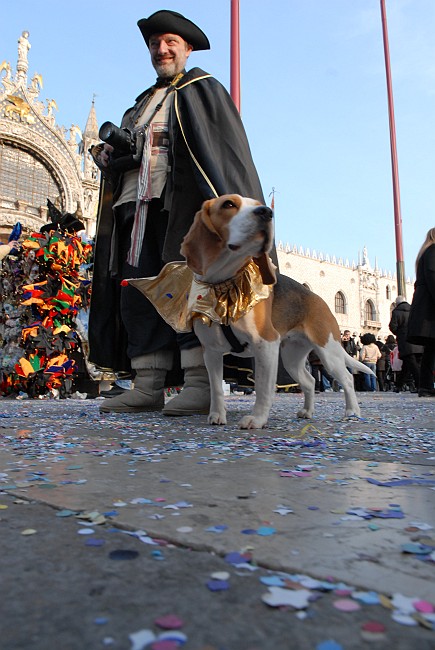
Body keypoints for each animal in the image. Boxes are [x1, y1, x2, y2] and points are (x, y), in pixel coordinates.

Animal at [179, 192, 372, 428]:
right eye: (228, 204)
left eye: (257, 204)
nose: (266, 212)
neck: (223, 284)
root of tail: (318, 299)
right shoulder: (211, 352)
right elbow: (216, 389)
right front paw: (217, 415)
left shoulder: (266, 344)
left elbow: (263, 388)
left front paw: (257, 419)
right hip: (292, 357)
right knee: (310, 381)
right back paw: (307, 411)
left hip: (328, 351)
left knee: (347, 378)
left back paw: (352, 412)